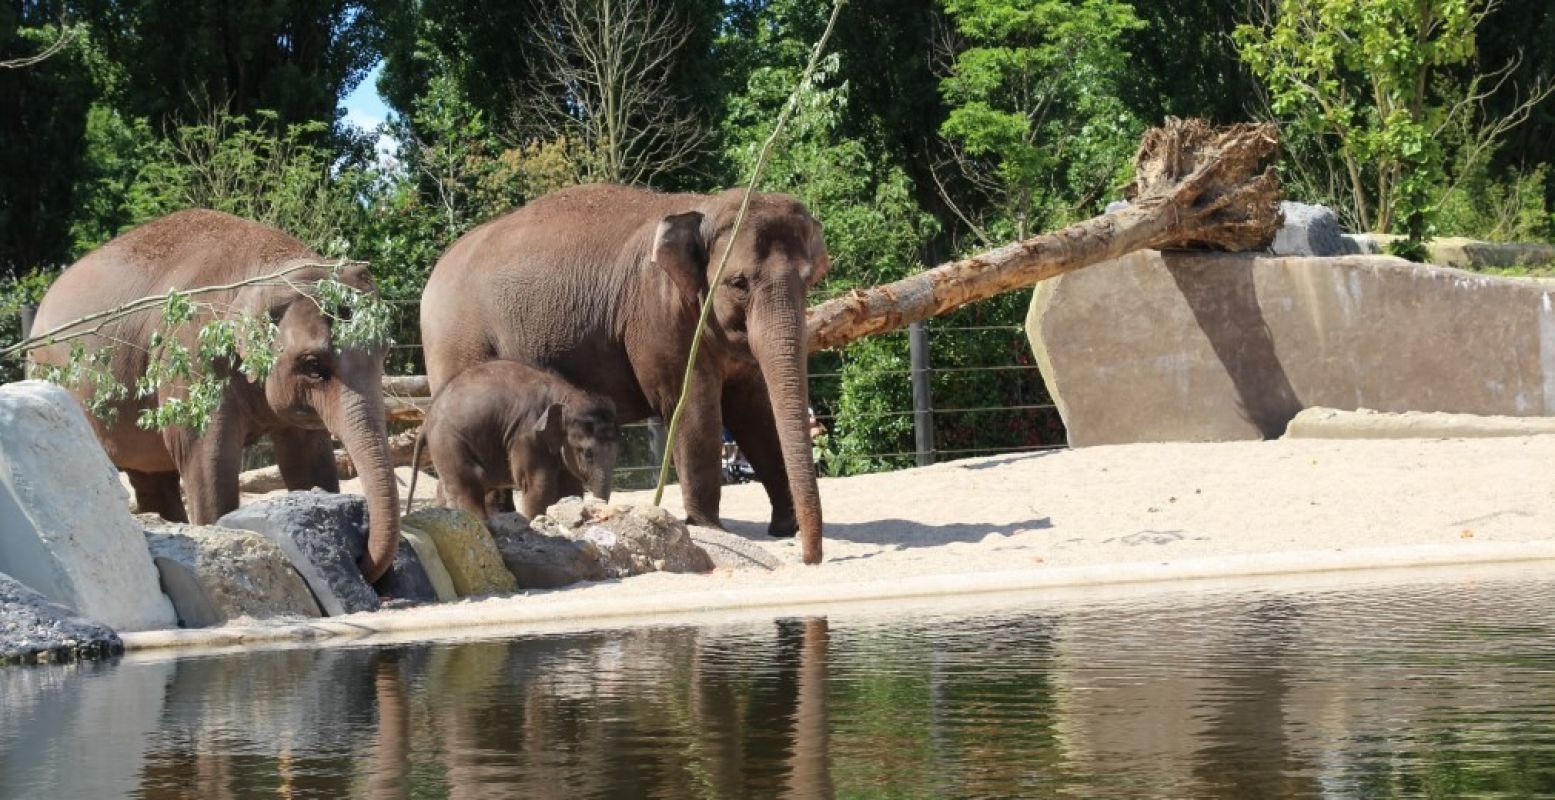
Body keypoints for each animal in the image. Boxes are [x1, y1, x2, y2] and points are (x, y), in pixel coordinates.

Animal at [34, 205, 407, 578]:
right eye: (314, 365)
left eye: (386, 351)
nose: (361, 555)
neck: (270, 267)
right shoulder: (192, 358)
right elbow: (208, 457)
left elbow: (308, 457)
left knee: (152, 476)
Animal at [422, 356, 622, 516]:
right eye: (587, 454)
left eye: (616, 453)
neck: (568, 396)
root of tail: (429, 413)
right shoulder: (527, 434)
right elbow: (538, 484)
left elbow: (568, 483)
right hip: (448, 441)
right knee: (468, 483)